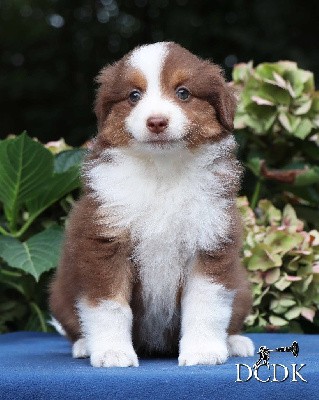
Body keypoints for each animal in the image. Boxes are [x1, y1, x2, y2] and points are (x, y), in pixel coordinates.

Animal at [49, 42, 255, 368]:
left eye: (183, 92)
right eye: (134, 95)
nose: (156, 122)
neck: (162, 171)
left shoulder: (210, 241)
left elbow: (205, 303)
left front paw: (203, 352)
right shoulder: (106, 242)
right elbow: (110, 306)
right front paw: (113, 353)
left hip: (243, 288)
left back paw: (234, 341)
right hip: (60, 293)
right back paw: (84, 344)